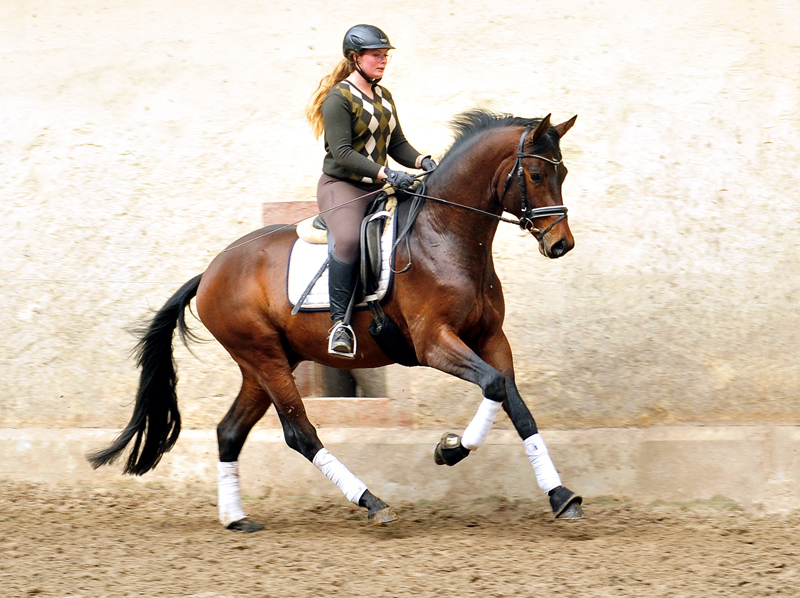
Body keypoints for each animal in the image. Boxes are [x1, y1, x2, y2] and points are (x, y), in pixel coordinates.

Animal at [90, 110, 584, 532]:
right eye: (536, 175)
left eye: (562, 175)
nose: (561, 244)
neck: (446, 235)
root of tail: (211, 272)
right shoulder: (434, 342)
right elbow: (495, 387)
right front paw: (450, 451)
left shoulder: (491, 339)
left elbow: (515, 404)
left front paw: (561, 495)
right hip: (263, 356)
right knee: (300, 434)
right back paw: (372, 502)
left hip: (264, 363)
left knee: (230, 431)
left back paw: (237, 518)